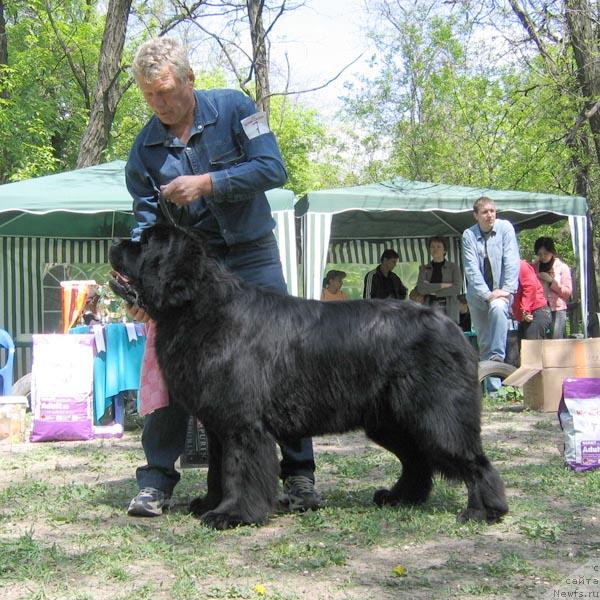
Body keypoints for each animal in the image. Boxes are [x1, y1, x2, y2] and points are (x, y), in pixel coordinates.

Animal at [108, 224, 506, 528]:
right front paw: (210, 503)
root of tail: (452, 327)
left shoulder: (243, 424)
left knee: (472, 460)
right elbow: (217, 469)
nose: (114, 243)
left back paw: (483, 510)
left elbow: (239, 469)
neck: (199, 307)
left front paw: (233, 514)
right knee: (417, 459)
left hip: (436, 414)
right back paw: (399, 497)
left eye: (145, 242)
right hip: (390, 420)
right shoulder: (219, 423)